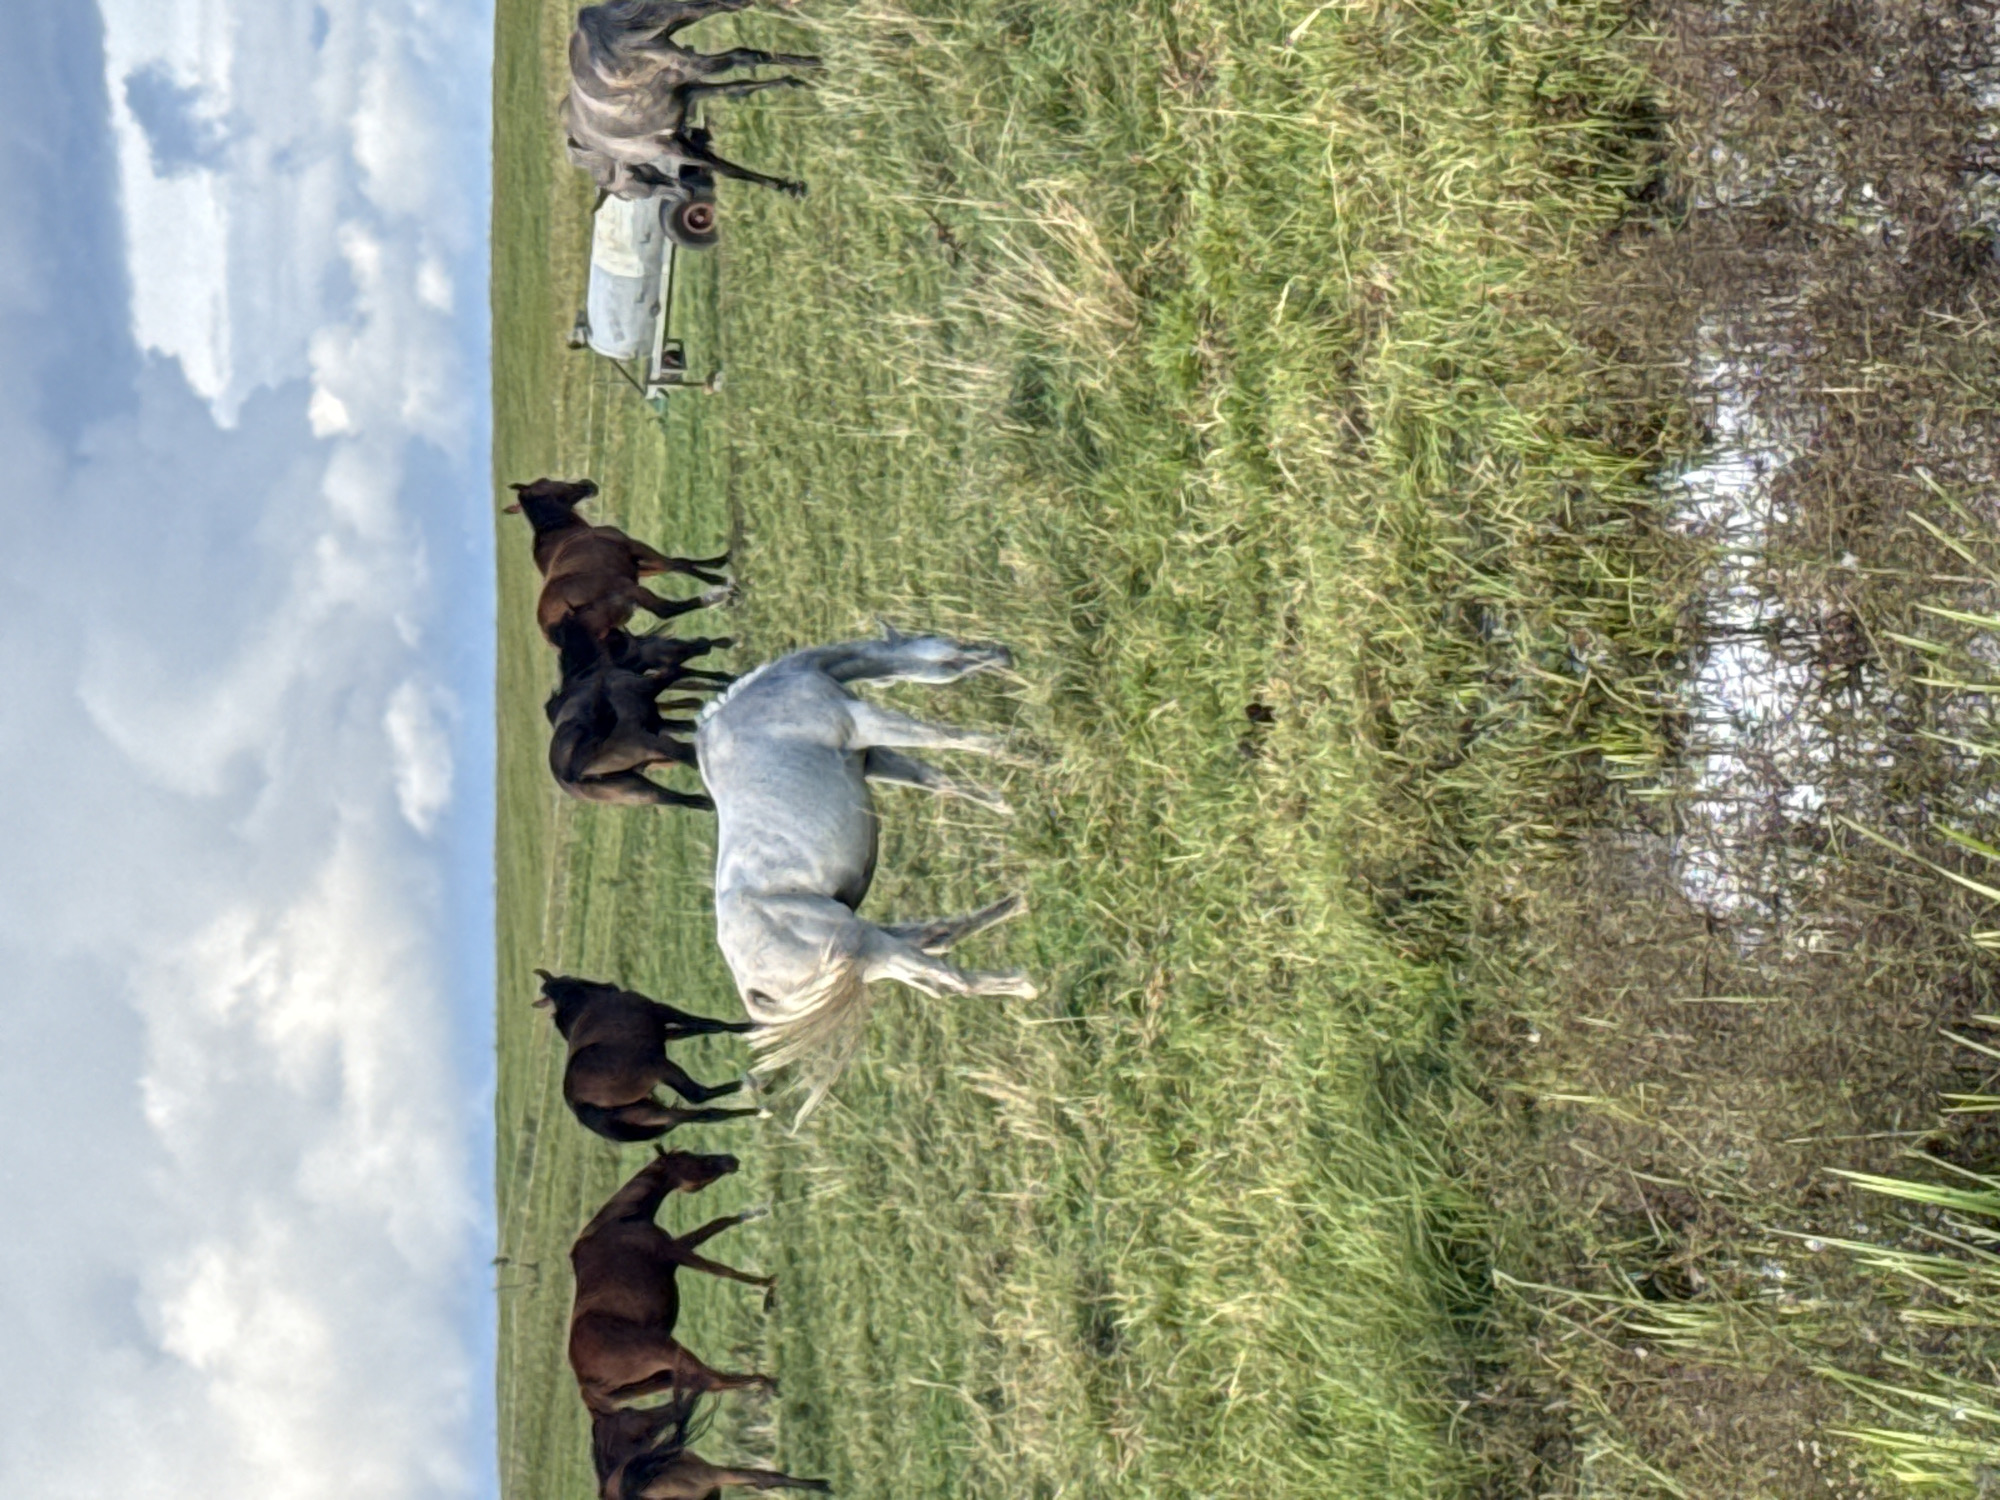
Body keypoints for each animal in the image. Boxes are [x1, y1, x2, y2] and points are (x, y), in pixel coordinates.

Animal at [507, 478, 733, 644]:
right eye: (547, 481)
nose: (587, 484)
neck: (561, 530)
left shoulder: (638, 566)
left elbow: (677, 562)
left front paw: (721, 562)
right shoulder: (633, 547)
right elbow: (678, 564)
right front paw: (720, 577)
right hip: (631, 592)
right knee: (666, 609)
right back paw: (718, 597)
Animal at [537, 970, 757, 1141]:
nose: (609, 986)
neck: (586, 1005)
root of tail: (577, 1102)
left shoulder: (664, 1032)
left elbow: (701, 1028)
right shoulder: (660, 1011)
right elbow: (712, 1025)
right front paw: (751, 1027)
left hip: (643, 1112)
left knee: (703, 1114)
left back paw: (754, 1109)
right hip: (658, 1067)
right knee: (697, 1094)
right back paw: (751, 1085)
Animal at [563, 0, 819, 202]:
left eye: (629, 193)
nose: (686, 196)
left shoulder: (673, 145)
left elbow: (723, 168)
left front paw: (785, 186)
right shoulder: (691, 93)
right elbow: (741, 83)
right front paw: (797, 80)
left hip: (688, 53)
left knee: (733, 37)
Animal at [569, 1149, 778, 1414]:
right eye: (691, 1158)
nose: (730, 1160)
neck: (620, 1220)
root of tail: (586, 1388)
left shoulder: (677, 1248)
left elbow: (720, 1223)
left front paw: (758, 1211)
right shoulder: (674, 1252)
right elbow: (721, 1269)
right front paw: (769, 1285)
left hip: (660, 1378)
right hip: (669, 1351)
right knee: (713, 1380)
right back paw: (766, 1382)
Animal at [695, 625, 1035, 1120]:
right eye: (940, 642)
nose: (1000, 654)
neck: (769, 697)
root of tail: (752, 987)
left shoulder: (872, 755)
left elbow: (939, 778)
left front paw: (1002, 799)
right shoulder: (864, 722)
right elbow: (946, 738)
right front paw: (1025, 754)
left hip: (872, 953)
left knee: (938, 943)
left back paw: (1015, 907)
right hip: (873, 947)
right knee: (951, 978)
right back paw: (1024, 983)